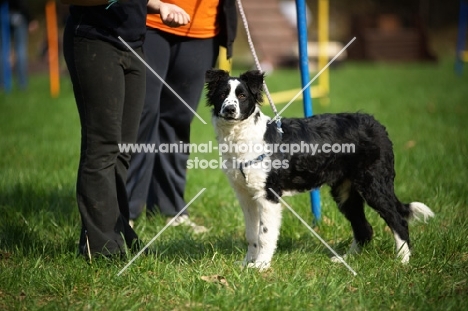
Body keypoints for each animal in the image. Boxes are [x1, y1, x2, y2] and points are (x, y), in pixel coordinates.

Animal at [206, 69, 436, 270]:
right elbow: (251, 234)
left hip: (373, 184)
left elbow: (265, 234)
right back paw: (346, 260)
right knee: (364, 228)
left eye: (242, 95)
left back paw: (403, 261)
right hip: (345, 192)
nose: (229, 109)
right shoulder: (245, 196)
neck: (243, 137)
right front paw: (247, 263)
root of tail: (377, 125)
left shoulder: (268, 196)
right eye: (222, 95)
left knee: (398, 219)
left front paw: (261, 266)